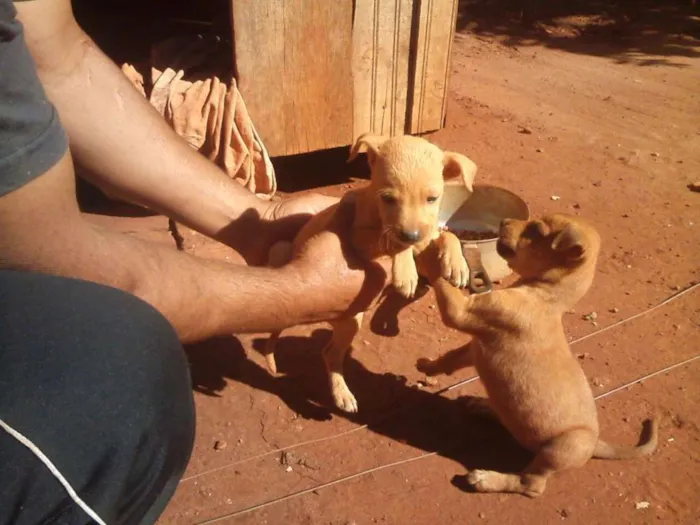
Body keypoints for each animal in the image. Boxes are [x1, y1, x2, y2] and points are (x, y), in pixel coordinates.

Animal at [266, 135, 478, 414]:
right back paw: (339, 394)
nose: (411, 235)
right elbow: (392, 241)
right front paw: (406, 272)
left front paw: (456, 264)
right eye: (387, 198)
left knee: (330, 352)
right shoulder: (360, 237)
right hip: (324, 294)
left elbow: (446, 235)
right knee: (324, 351)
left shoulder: (427, 238)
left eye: (432, 198)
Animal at [416, 213, 656, 496]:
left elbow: (441, 280)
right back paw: (484, 407)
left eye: (537, 230)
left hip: (562, 448)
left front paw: (431, 251)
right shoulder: (476, 345)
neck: (546, 295)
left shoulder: (461, 311)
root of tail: (595, 443)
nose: (504, 221)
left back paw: (486, 479)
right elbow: (451, 357)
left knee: (530, 484)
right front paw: (428, 366)